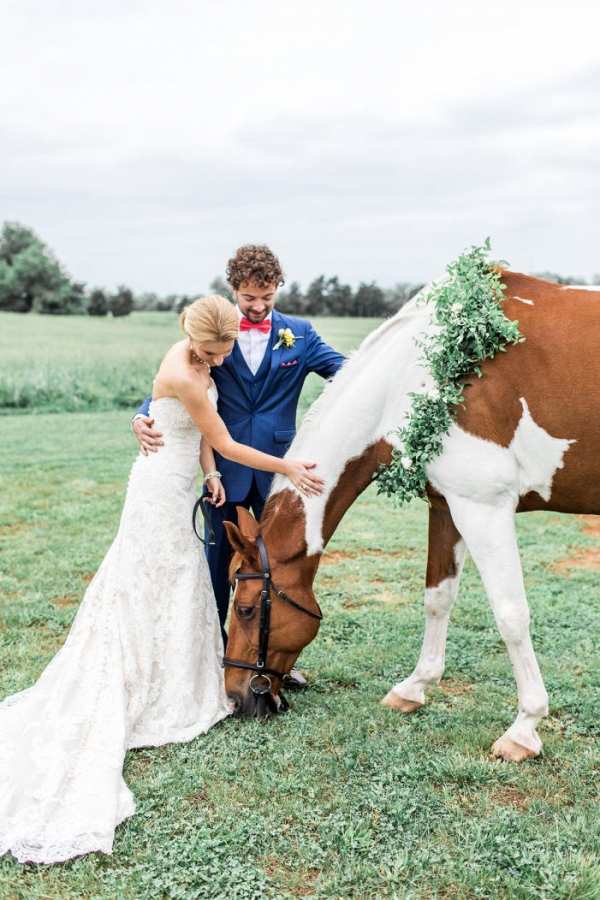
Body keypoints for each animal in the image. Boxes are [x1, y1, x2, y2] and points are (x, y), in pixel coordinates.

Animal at [225, 272, 600, 760]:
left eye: (247, 610)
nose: (233, 699)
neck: (420, 374)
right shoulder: (448, 508)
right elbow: (437, 597)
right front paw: (414, 687)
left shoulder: (484, 508)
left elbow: (511, 615)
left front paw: (525, 728)